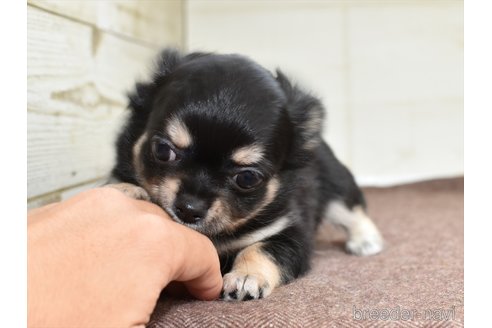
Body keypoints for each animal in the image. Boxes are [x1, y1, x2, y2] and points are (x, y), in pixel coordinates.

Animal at [107, 47, 384, 302]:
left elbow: (261, 248)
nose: (189, 208)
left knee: (352, 210)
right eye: (163, 151)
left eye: (247, 178)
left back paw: (366, 241)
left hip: (336, 185)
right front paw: (127, 189)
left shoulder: (290, 232)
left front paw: (246, 277)